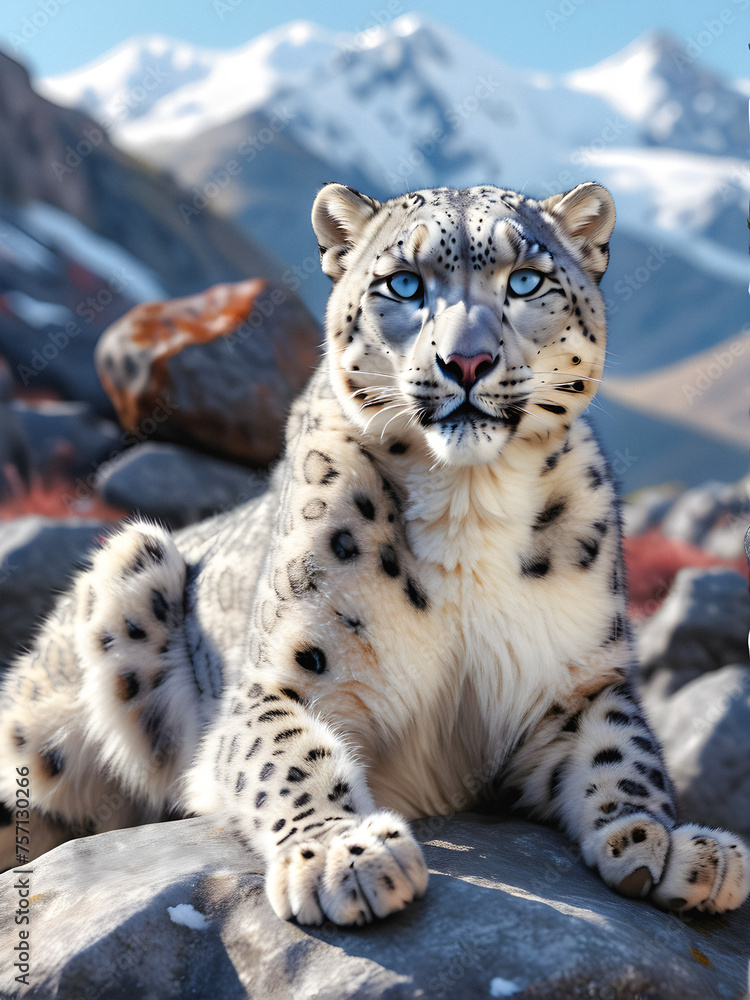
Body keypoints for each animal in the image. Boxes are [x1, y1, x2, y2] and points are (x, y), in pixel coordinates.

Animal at [0, 181, 747, 927]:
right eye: (404, 283)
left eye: (526, 279)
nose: (466, 362)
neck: (468, 505)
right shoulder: (279, 677)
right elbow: (289, 753)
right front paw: (345, 854)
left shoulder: (578, 679)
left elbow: (625, 752)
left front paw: (673, 846)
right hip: (131, 560)